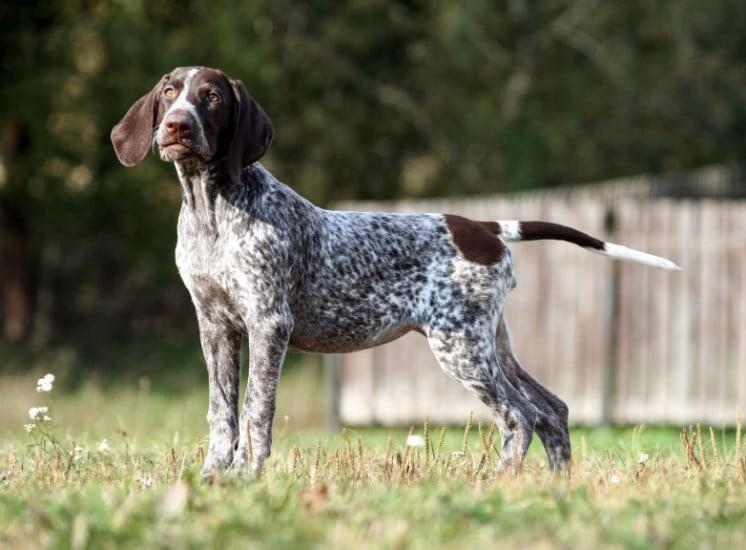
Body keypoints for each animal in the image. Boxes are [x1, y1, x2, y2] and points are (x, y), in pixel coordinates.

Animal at [112, 66, 680, 478]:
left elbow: (256, 410)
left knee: (518, 416)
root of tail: (483, 227)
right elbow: (220, 411)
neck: (211, 209)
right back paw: (555, 487)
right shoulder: (216, 327)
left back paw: (497, 483)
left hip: (460, 345)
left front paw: (249, 479)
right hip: (491, 342)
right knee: (551, 410)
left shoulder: (268, 324)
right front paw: (212, 477)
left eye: (211, 97)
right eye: (169, 92)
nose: (176, 126)